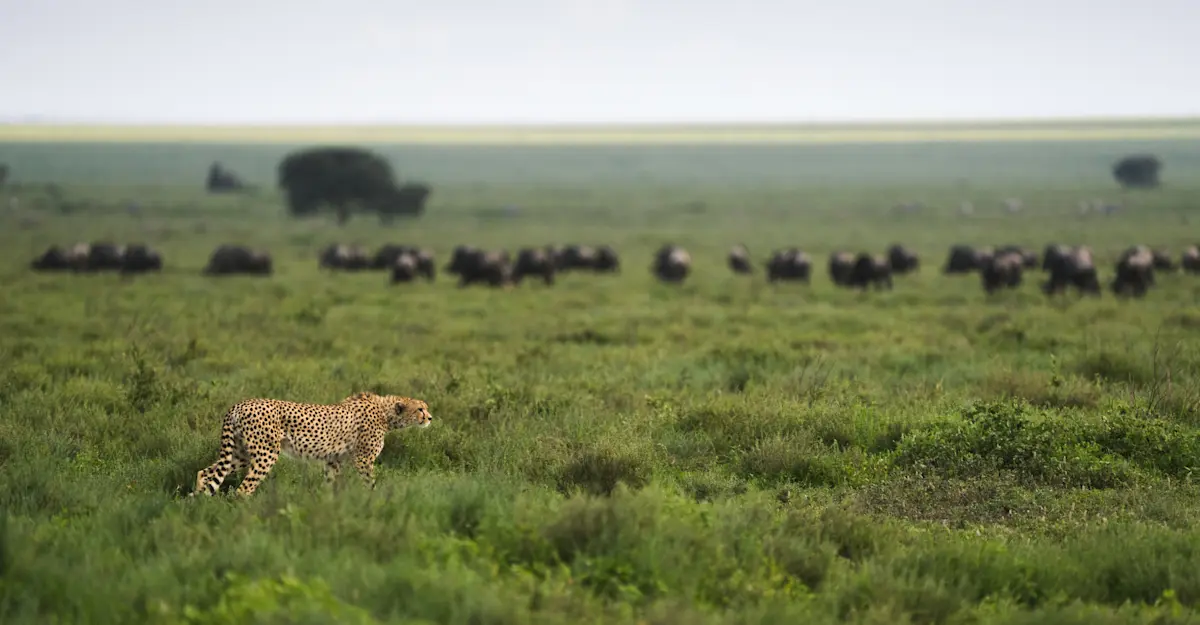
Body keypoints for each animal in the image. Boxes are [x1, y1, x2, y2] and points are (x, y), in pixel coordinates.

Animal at [192, 391, 432, 497]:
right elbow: (369, 483)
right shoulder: (363, 459)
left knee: (206, 472)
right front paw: (374, 501)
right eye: (420, 409)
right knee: (243, 489)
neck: (386, 412)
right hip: (266, 454)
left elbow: (328, 483)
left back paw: (198, 502)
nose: (430, 418)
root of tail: (240, 404)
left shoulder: (334, 460)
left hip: (240, 453)